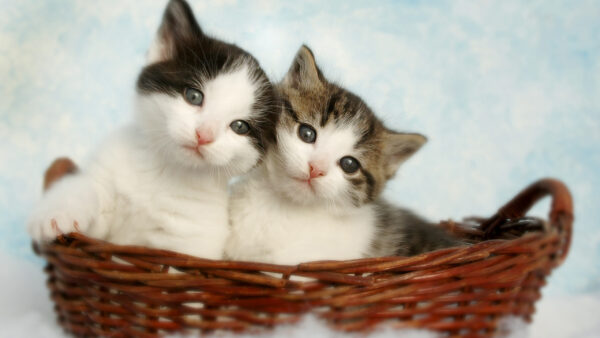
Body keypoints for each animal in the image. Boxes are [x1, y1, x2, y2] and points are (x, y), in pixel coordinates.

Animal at [24, 0, 276, 258]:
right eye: (194, 96)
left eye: (239, 126)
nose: (203, 135)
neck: (164, 171)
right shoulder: (104, 188)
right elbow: (86, 188)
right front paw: (56, 213)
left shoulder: (188, 242)